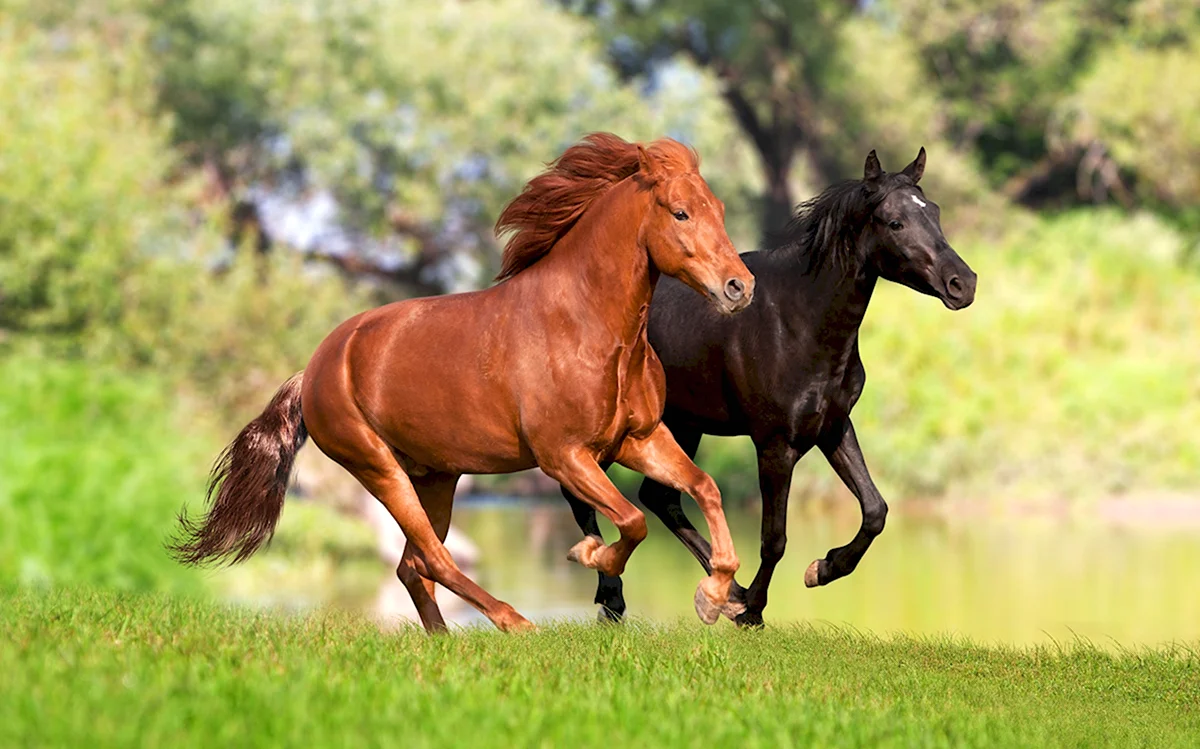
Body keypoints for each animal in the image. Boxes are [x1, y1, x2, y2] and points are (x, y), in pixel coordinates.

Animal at [170, 133, 753, 633]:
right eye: (680, 212)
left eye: (720, 210)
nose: (739, 287)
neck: (586, 326)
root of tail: (314, 367)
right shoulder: (564, 455)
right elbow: (632, 521)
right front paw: (588, 553)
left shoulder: (639, 439)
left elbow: (705, 487)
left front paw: (714, 598)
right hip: (379, 469)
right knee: (434, 558)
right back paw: (515, 623)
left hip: (436, 477)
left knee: (412, 565)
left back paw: (444, 638)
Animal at [561, 146, 974, 624]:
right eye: (894, 222)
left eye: (935, 212)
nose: (963, 284)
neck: (798, 322)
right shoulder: (776, 444)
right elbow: (774, 537)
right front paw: (753, 612)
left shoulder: (833, 427)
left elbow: (875, 510)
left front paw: (821, 569)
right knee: (584, 494)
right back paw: (616, 596)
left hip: (683, 425)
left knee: (659, 498)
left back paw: (721, 594)